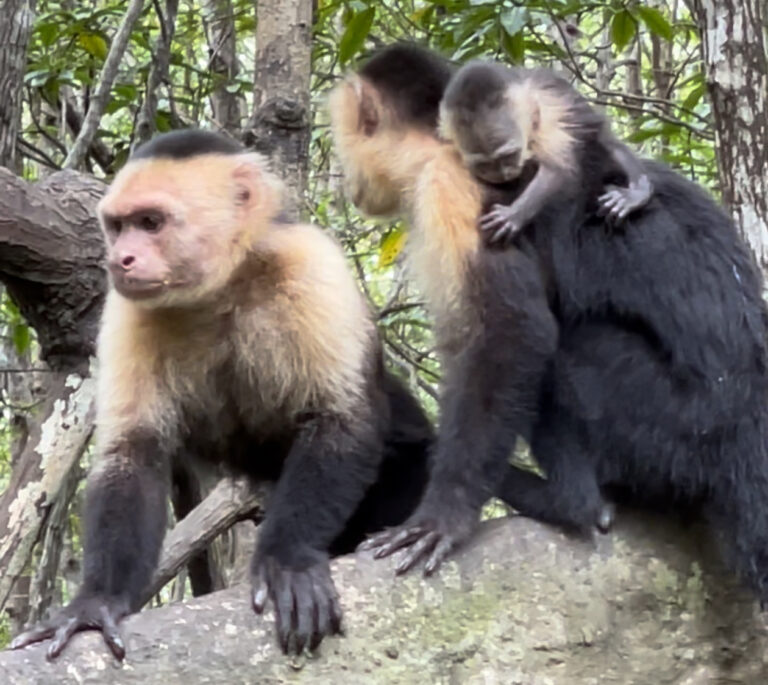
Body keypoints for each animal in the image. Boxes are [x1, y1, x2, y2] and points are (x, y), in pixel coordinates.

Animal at [9, 129, 435, 660]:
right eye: (119, 226)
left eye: (151, 222)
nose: (119, 259)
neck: (220, 289)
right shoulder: (128, 309)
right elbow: (134, 451)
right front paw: (95, 603)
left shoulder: (310, 265)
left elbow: (340, 418)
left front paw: (287, 561)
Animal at [439, 60, 653, 245]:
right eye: (484, 166)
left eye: (508, 156)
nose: (504, 175)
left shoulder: (544, 117)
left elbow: (556, 169)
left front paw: (514, 215)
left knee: (604, 141)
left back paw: (638, 193)